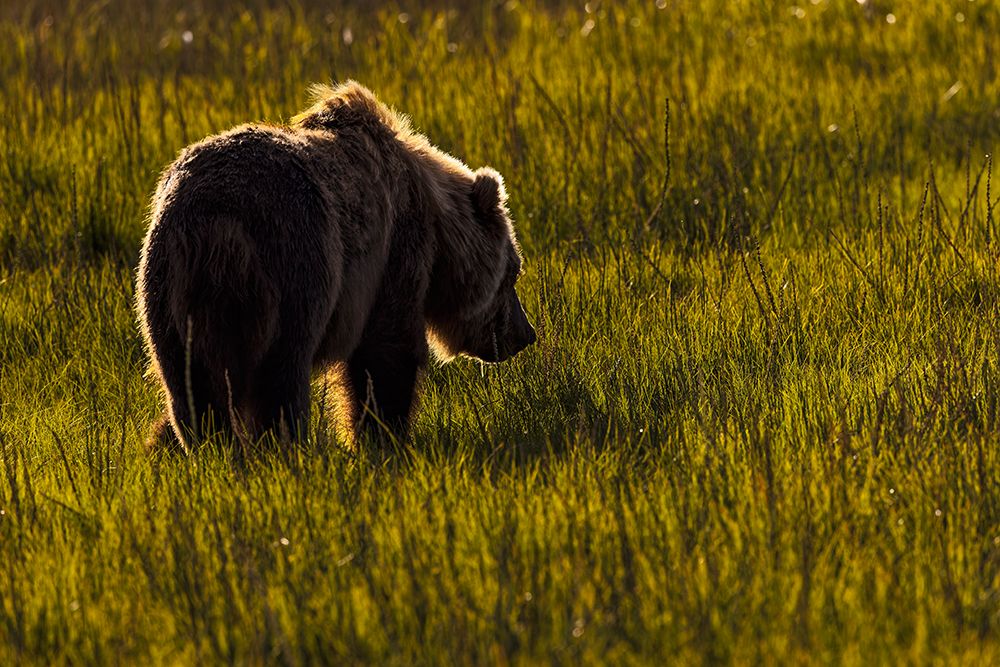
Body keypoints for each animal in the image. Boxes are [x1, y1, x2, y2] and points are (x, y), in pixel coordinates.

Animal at [136, 80, 536, 452]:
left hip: (166, 294)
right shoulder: (395, 252)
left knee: (191, 386)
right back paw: (283, 447)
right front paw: (382, 437)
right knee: (279, 375)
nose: (525, 334)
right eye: (513, 273)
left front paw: (159, 440)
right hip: (296, 265)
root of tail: (217, 225)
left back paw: (211, 448)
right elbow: (386, 353)